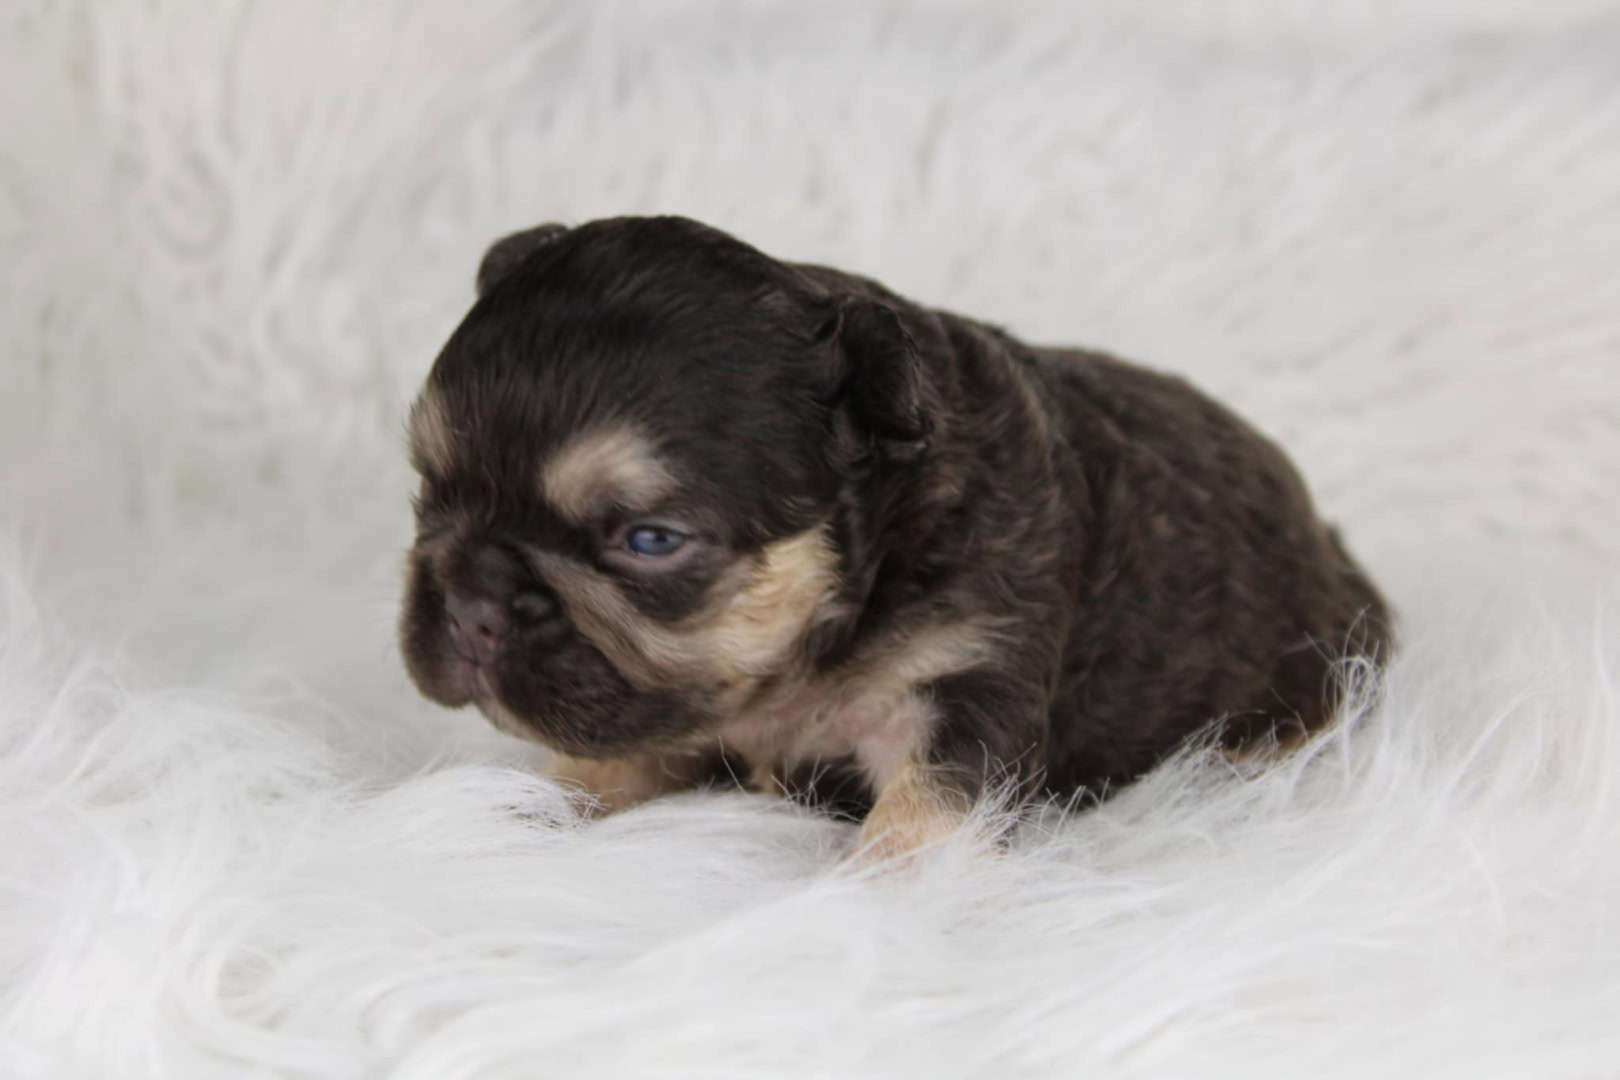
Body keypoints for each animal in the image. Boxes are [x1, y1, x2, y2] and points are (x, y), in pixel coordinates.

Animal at [395, 215, 1393, 854]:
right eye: (429, 488)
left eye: (648, 540)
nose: (473, 601)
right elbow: (598, 765)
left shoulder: (965, 684)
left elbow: (919, 826)